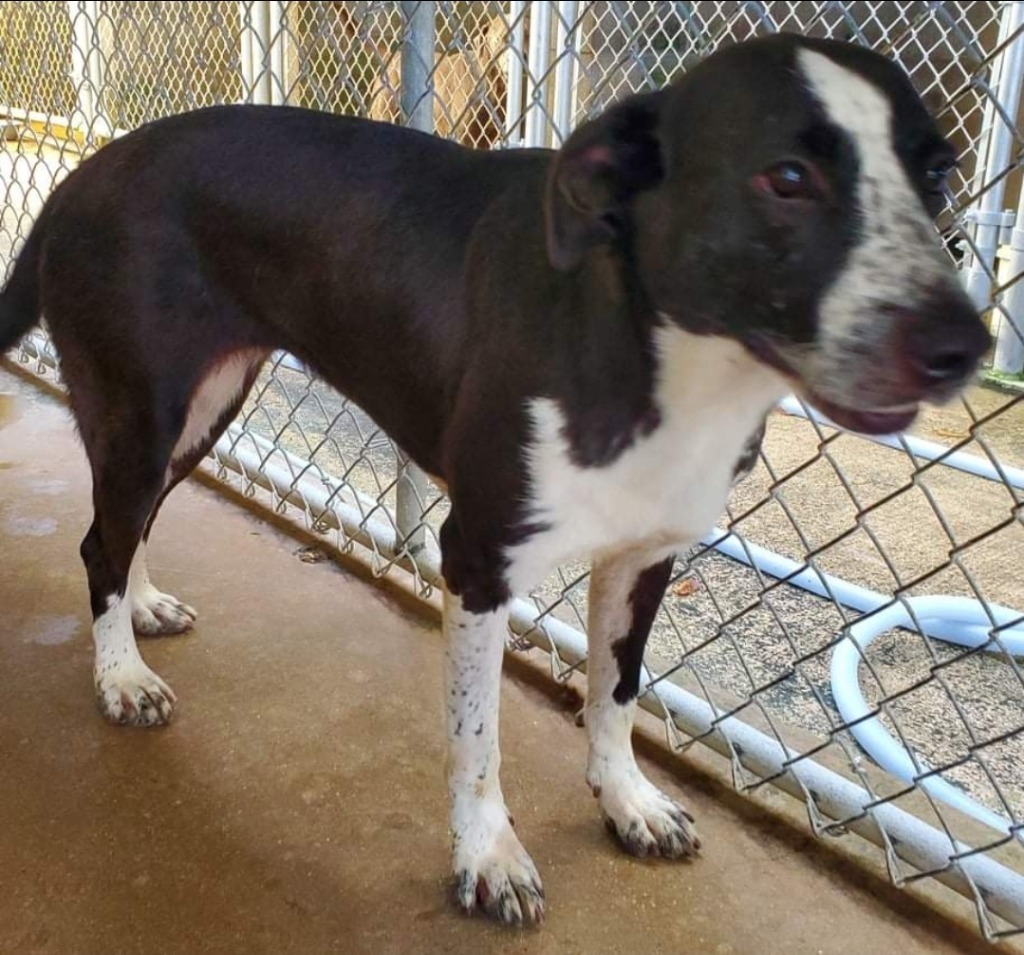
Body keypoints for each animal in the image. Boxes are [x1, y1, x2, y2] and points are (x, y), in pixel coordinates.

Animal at [2, 37, 991, 925]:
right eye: (787, 178)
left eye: (938, 175)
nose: (964, 347)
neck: (650, 349)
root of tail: (82, 175)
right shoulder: (477, 558)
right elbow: (478, 739)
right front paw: (488, 857)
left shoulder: (645, 556)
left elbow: (617, 694)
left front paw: (627, 801)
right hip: (144, 414)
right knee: (99, 542)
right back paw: (120, 676)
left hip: (203, 411)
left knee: (128, 529)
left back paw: (142, 608)